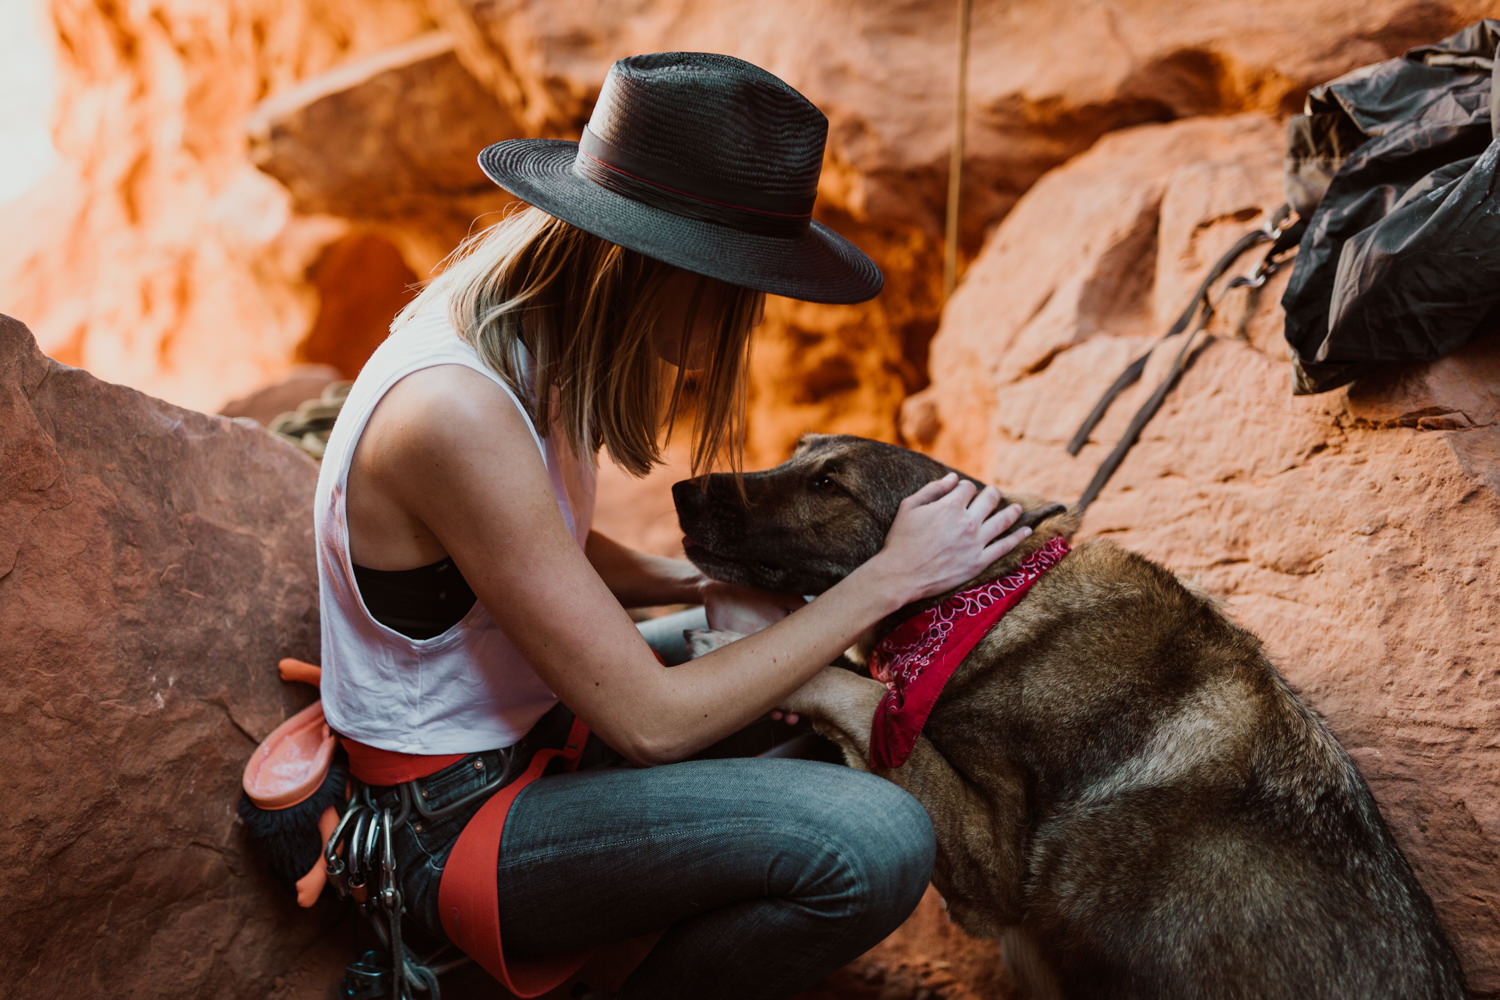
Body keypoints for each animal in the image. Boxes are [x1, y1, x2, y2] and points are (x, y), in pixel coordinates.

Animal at [675, 434, 1470, 1000]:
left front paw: (736, 648)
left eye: (828, 485)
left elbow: (861, 693)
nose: (680, 490)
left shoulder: (991, 866)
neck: (986, 602)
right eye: (797, 454)